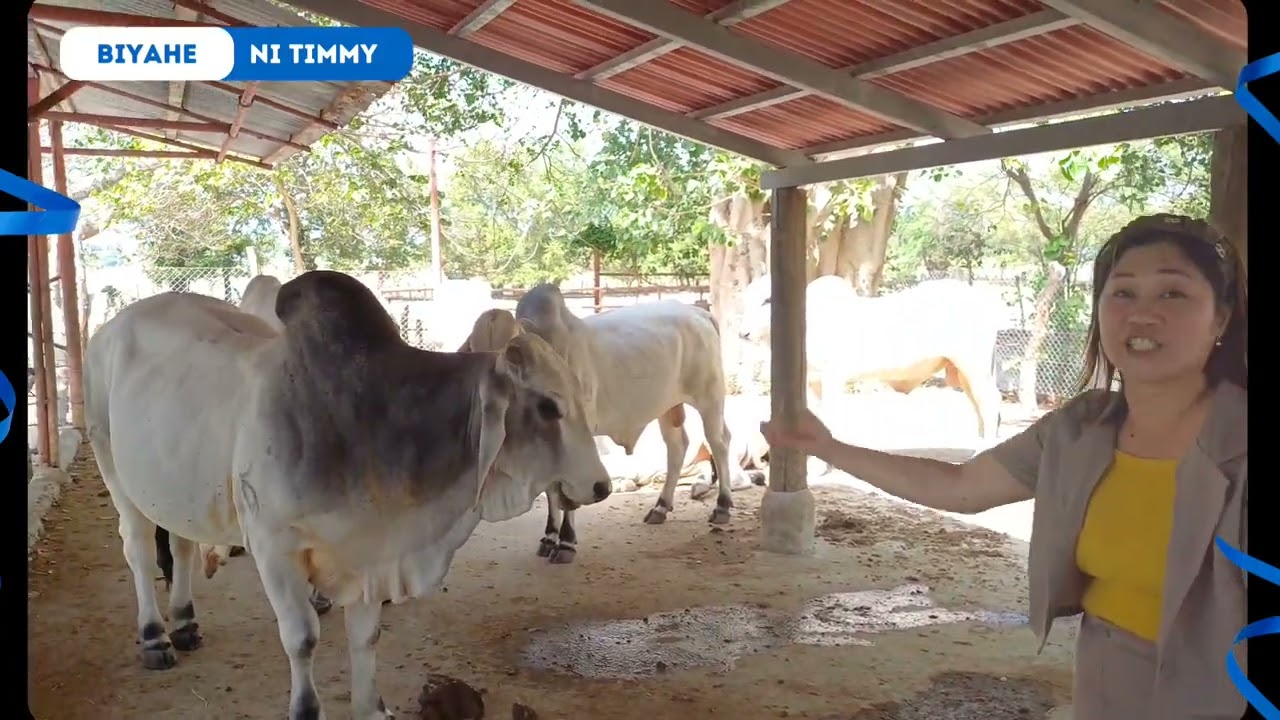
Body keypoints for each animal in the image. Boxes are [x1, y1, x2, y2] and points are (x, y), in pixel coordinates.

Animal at [84, 270, 611, 719]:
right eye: (548, 406)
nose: (602, 485)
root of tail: (111, 327)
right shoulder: (274, 547)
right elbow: (302, 638)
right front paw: (305, 708)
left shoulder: (369, 552)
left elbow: (366, 636)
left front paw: (371, 706)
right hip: (114, 469)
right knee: (138, 550)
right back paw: (155, 638)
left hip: (175, 488)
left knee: (181, 544)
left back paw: (185, 622)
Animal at [500, 284, 751, 564]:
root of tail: (698, 312)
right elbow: (553, 489)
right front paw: (548, 537)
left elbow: (568, 493)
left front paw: (566, 543)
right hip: (668, 406)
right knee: (677, 446)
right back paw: (661, 507)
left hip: (710, 397)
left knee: (719, 441)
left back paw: (722, 506)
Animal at [739, 274, 1006, 473]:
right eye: (746, 300)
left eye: (767, 300)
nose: (743, 333)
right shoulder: (812, 382)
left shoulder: (833, 376)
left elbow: (829, 417)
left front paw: (822, 466)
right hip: (965, 371)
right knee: (978, 405)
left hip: (974, 365)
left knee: (990, 402)